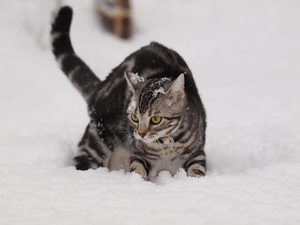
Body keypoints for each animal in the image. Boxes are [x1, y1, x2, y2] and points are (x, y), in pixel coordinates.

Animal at [51, 6, 206, 180]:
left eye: (156, 119)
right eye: (134, 117)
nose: (140, 134)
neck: (166, 146)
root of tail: (100, 89)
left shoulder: (198, 153)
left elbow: (197, 170)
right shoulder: (138, 154)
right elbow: (138, 170)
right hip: (97, 142)